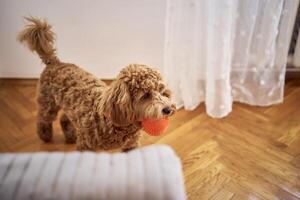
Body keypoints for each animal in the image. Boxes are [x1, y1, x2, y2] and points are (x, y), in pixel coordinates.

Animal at [17, 17, 176, 151]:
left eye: (162, 92)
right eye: (145, 96)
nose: (168, 109)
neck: (110, 119)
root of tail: (55, 62)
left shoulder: (131, 146)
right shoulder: (86, 145)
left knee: (64, 118)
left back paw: (70, 135)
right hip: (48, 102)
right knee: (43, 119)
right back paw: (45, 136)